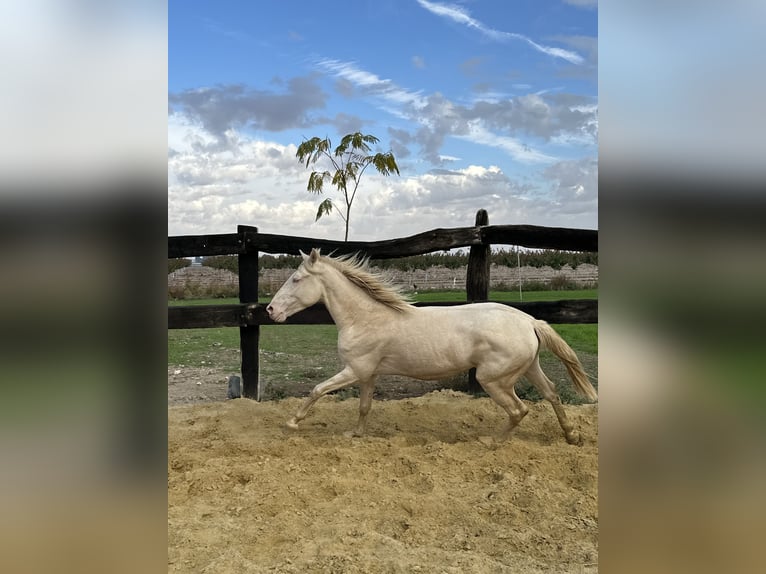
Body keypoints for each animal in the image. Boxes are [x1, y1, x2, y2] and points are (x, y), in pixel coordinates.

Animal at [270, 249, 600, 446]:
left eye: (296, 278)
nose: (272, 310)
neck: (365, 317)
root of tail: (530, 320)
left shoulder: (355, 369)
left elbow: (317, 390)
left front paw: (291, 423)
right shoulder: (368, 374)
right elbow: (364, 406)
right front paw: (357, 434)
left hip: (494, 379)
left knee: (520, 410)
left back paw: (491, 442)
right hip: (529, 368)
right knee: (552, 394)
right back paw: (572, 436)